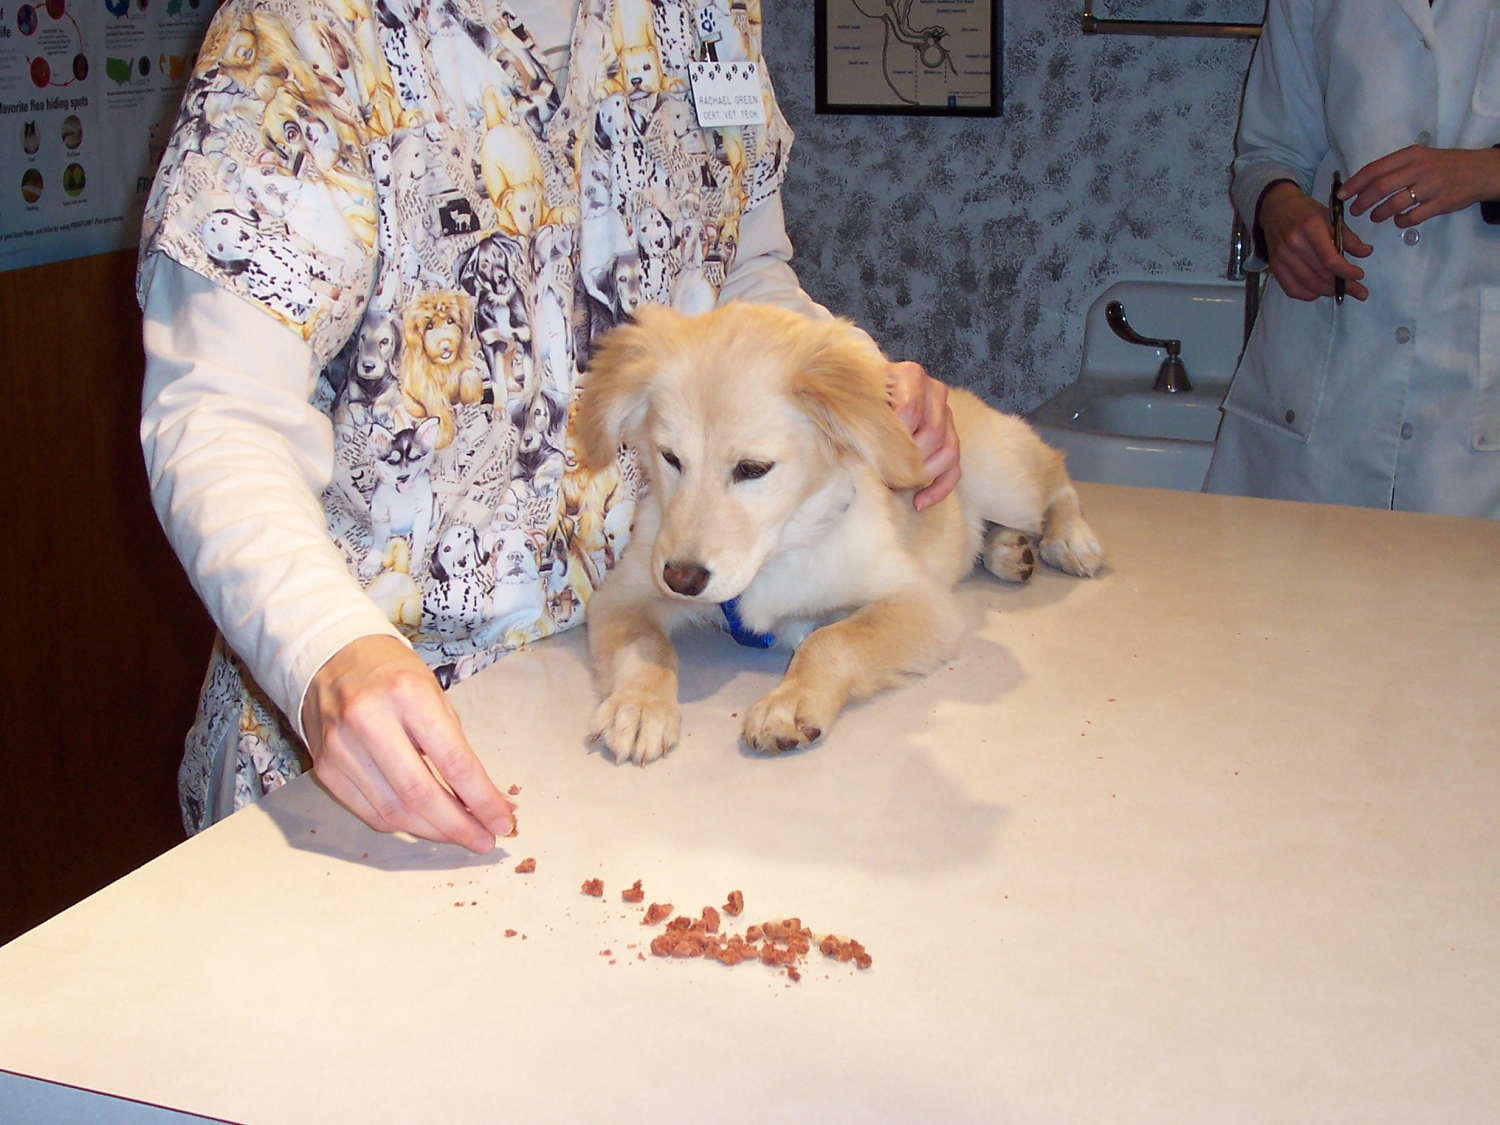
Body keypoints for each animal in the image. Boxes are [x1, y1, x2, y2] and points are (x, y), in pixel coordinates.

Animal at [573, 301, 1104, 768]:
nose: (681, 580)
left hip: (1002, 481)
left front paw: (790, 704)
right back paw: (1009, 551)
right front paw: (639, 707)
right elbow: (645, 644)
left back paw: (1069, 540)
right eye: (670, 458)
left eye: (752, 469)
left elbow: (833, 639)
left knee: (1056, 472)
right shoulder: (623, 594)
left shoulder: (922, 603)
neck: (780, 553)